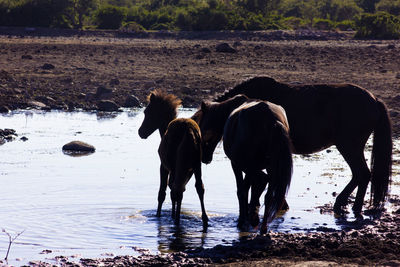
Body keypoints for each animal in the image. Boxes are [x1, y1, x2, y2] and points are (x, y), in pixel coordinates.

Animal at [139, 90, 208, 228]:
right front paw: (171, 214)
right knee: (198, 188)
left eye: (147, 112)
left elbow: (162, 192)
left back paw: (177, 220)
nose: (141, 132)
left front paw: (159, 215)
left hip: (178, 166)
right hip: (196, 165)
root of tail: (189, 131)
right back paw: (204, 219)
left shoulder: (164, 166)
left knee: (177, 190)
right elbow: (173, 191)